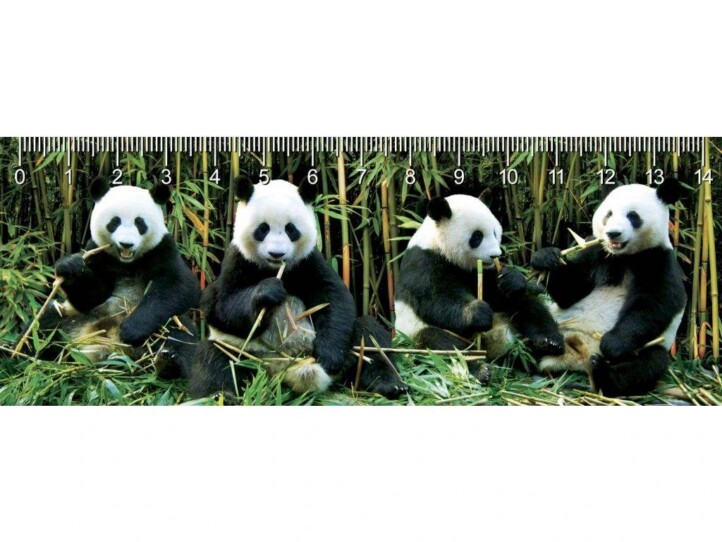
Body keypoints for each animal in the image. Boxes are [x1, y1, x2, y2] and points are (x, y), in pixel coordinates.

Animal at [33, 176, 201, 377]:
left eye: (139, 223)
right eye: (114, 222)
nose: (126, 244)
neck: (127, 262)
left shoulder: (162, 249)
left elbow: (180, 286)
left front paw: (132, 329)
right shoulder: (98, 253)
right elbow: (90, 297)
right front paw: (70, 266)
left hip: (165, 326)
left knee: (181, 335)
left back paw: (169, 364)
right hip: (73, 318)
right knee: (45, 322)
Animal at [189, 177, 407, 400]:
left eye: (290, 229)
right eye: (263, 229)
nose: (276, 254)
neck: (275, 268)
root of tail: (285, 371)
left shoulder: (308, 260)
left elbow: (332, 296)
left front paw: (329, 356)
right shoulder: (238, 261)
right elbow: (222, 306)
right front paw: (268, 292)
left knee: (371, 338)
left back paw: (388, 385)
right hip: (245, 353)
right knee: (214, 357)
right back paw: (221, 395)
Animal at [394, 194, 565, 378]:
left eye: (495, 232)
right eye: (477, 236)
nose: (496, 255)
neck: (439, 244)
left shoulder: (479, 271)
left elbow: (498, 292)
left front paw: (511, 279)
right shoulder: (423, 262)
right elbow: (435, 299)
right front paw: (478, 313)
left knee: (528, 304)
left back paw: (548, 343)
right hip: (413, 333)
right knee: (441, 345)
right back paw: (480, 369)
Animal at [530, 176, 686, 396]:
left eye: (633, 216)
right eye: (609, 214)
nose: (613, 233)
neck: (624, 256)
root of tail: (576, 358)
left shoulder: (658, 260)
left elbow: (653, 305)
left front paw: (612, 343)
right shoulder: (597, 252)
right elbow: (570, 291)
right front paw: (546, 257)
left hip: (649, 348)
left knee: (647, 364)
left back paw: (601, 372)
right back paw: (544, 342)